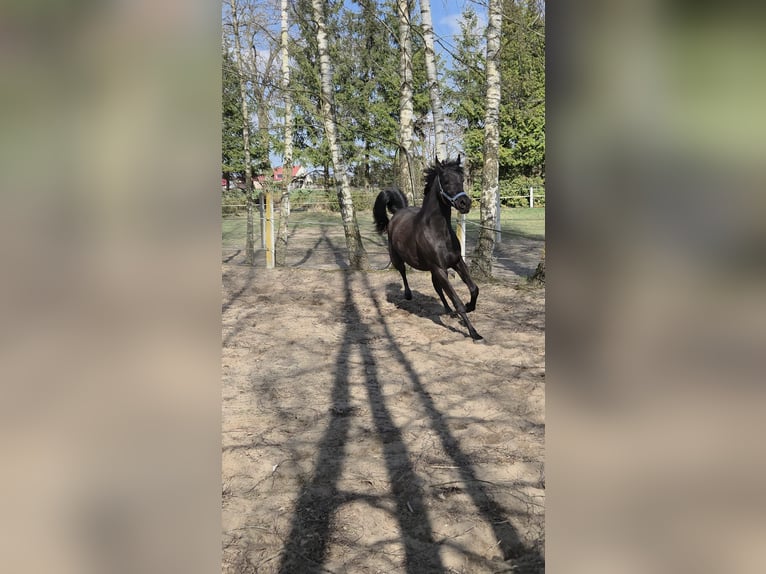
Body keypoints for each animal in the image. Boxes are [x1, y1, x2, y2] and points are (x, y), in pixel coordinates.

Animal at [373, 157, 482, 340]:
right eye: (445, 181)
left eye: (462, 180)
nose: (465, 203)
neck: (438, 232)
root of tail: (398, 212)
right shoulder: (439, 268)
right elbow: (457, 301)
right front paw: (474, 333)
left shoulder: (456, 263)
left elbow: (474, 289)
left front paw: (469, 306)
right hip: (398, 259)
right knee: (403, 272)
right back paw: (408, 295)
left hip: (433, 270)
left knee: (437, 288)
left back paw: (447, 310)